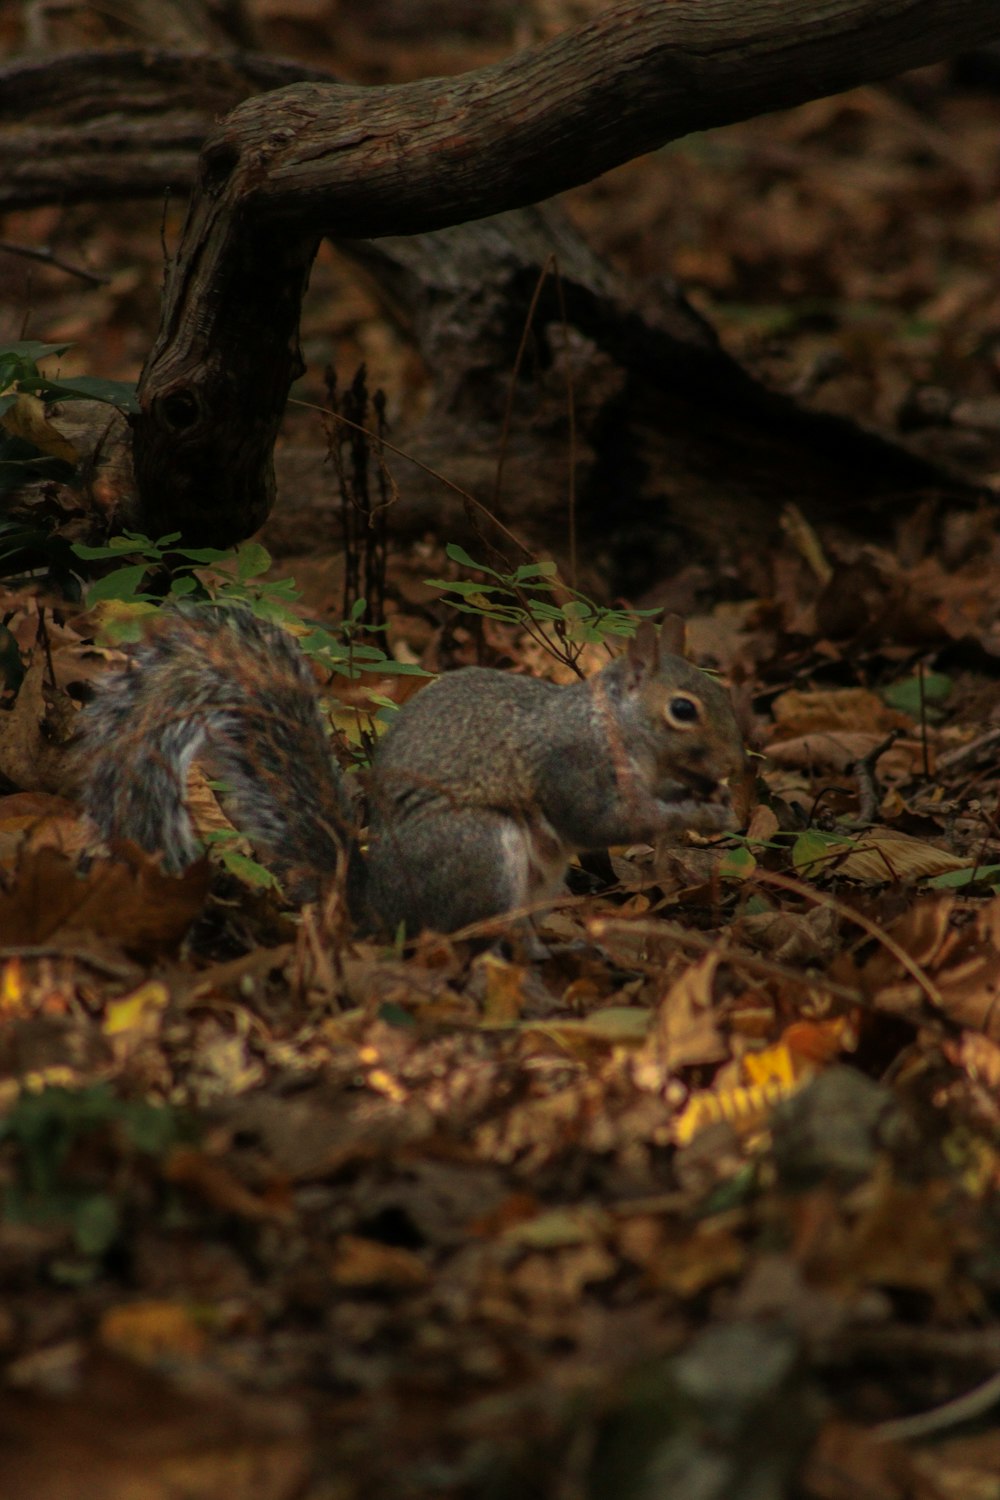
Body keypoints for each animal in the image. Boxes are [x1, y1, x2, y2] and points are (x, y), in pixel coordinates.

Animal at [76, 603, 743, 930]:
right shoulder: (571, 766)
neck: (615, 726)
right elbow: (603, 821)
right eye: (683, 710)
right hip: (477, 845)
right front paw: (697, 812)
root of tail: (381, 908)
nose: (735, 762)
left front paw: (716, 801)